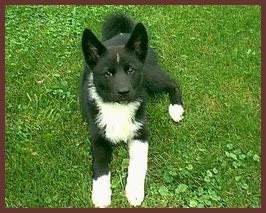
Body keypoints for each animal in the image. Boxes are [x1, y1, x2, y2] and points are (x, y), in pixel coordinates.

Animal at [79, 14, 184, 207]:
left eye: (130, 70)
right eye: (107, 73)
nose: (124, 92)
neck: (117, 108)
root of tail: (124, 33)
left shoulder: (141, 133)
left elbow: (138, 164)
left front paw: (134, 192)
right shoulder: (98, 138)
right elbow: (100, 168)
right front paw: (101, 196)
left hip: (148, 75)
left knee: (173, 83)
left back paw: (176, 110)